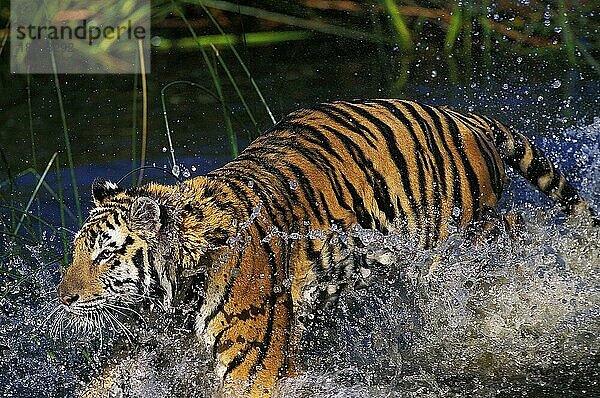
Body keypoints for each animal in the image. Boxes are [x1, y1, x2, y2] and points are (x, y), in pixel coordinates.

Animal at [56, 98, 596, 396]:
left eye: (105, 255)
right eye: (76, 252)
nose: (61, 299)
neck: (178, 292)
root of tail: (463, 117)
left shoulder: (254, 372)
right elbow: (107, 379)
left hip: (461, 231)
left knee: (514, 228)